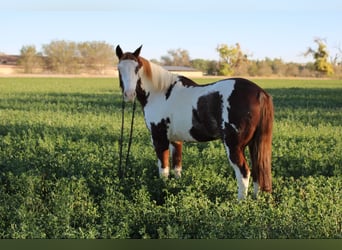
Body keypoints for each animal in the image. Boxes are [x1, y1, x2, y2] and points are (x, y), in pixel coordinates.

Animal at [116, 45, 274, 200]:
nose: (129, 95)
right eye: (119, 68)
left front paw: (162, 189)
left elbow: (164, 170)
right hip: (253, 144)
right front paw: (175, 188)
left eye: (137, 68)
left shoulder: (159, 138)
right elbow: (177, 167)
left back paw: (240, 202)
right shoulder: (175, 140)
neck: (160, 92)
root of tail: (259, 92)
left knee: (244, 173)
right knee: (257, 171)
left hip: (234, 146)